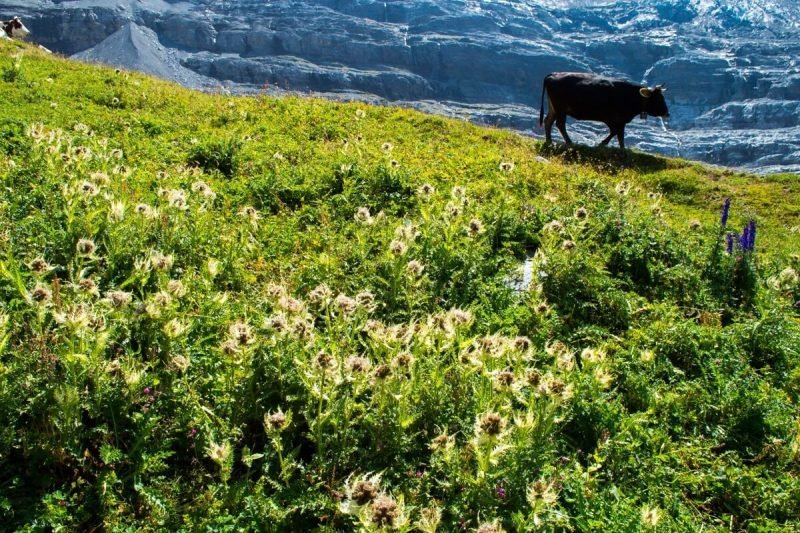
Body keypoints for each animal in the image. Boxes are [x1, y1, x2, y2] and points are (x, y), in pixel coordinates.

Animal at [536, 70, 668, 150]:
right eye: (658, 99)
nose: (667, 113)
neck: (630, 96)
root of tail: (553, 74)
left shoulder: (619, 121)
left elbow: (619, 135)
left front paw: (622, 149)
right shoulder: (613, 119)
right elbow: (616, 133)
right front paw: (603, 144)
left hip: (554, 108)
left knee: (548, 121)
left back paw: (549, 141)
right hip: (560, 108)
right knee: (560, 124)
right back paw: (569, 142)